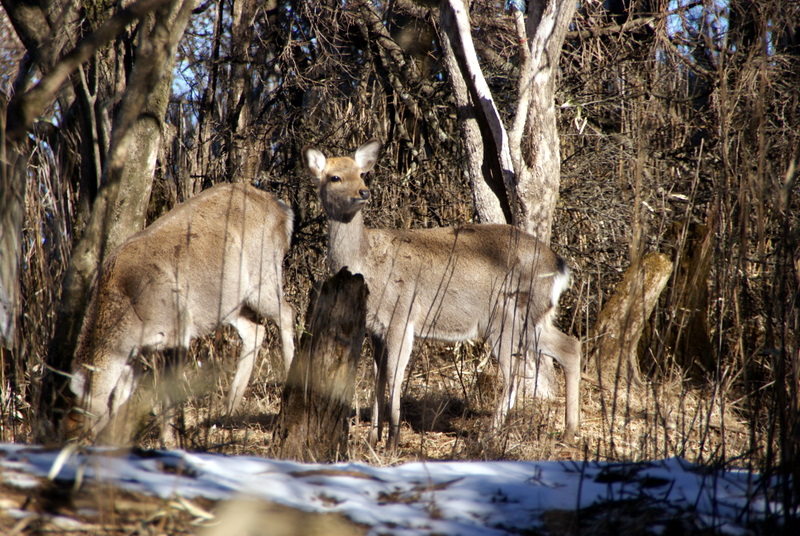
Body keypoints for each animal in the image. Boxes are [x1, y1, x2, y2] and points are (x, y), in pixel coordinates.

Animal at [68, 182, 294, 442]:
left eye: (79, 428)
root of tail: (283, 210)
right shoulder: (138, 352)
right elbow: (122, 395)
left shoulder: (177, 331)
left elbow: (166, 393)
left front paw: (170, 440)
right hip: (228, 302)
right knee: (255, 329)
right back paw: (229, 406)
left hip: (264, 275)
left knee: (287, 313)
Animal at [306, 138, 580, 448]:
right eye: (334, 177)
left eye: (361, 174)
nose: (363, 192)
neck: (367, 262)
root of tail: (560, 267)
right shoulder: (375, 327)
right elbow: (377, 377)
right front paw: (374, 438)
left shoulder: (401, 316)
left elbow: (395, 375)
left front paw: (393, 439)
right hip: (533, 318)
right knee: (569, 347)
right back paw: (568, 431)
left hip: (508, 317)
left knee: (516, 371)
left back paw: (490, 434)